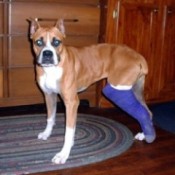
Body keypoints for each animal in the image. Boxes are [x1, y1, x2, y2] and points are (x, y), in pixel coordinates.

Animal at [28, 18, 156, 164]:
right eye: (38, 42)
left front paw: (63, 153)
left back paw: (148, 135)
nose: (47, 53)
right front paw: (47, 133)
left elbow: (68, 130)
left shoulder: (71, 102)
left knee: (142, 111)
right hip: (135, 90)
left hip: (118, 87)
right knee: (147, 111)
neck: (52, 69)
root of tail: (138, 56)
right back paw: (145, 135)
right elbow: (50, 117)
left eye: (56, 42)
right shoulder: (49, 96)